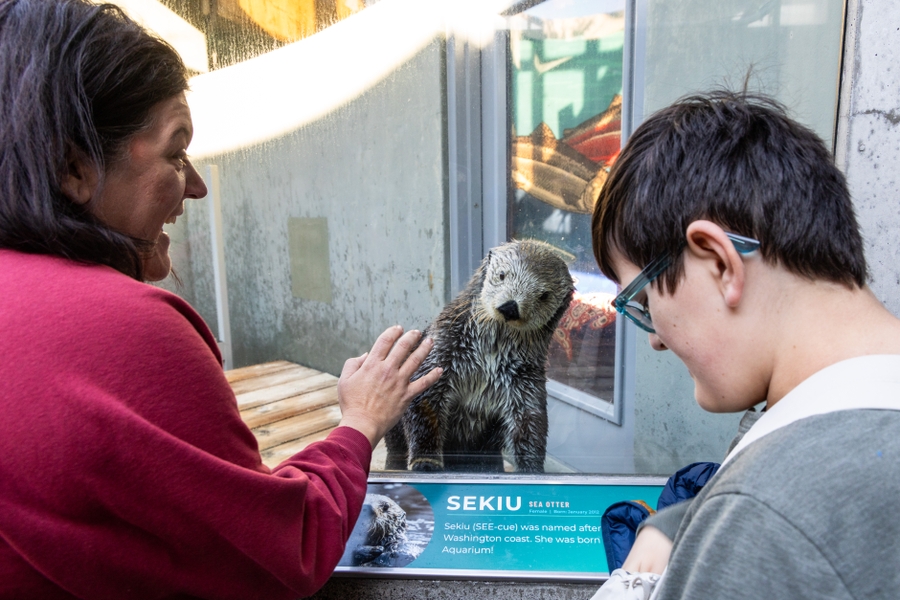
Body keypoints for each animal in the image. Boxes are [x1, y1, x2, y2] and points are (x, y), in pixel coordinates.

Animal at [385, 239, 574, 473]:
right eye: (502, 275)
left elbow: (530, 422)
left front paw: (532, 471)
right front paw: (426, 463)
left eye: (544, 295)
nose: (510, 307)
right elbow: (425, 402)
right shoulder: (441, 350)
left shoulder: (525, 379)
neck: (490, 355)